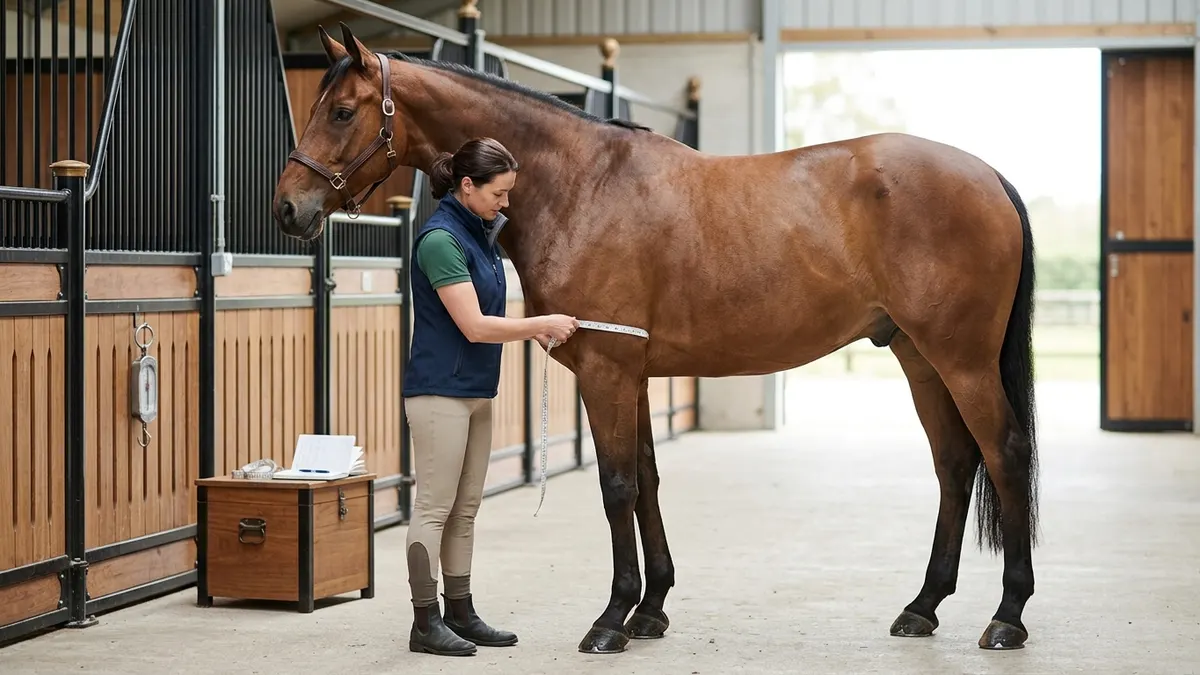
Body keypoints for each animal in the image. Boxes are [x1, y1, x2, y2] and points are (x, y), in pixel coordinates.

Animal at [272, 23, 1040, 655]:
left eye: (342, 111)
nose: (287, 208)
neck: (581, 185)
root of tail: (990, 176)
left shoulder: (607, 370)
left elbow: (616, 485)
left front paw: (611, 619)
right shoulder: (631, 371)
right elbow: (645, 479)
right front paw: (651, 610)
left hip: (962, 360)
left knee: (1003, 454)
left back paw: (1007, 615)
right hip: (919, 357)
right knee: (953, 465)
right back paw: (923, 606)